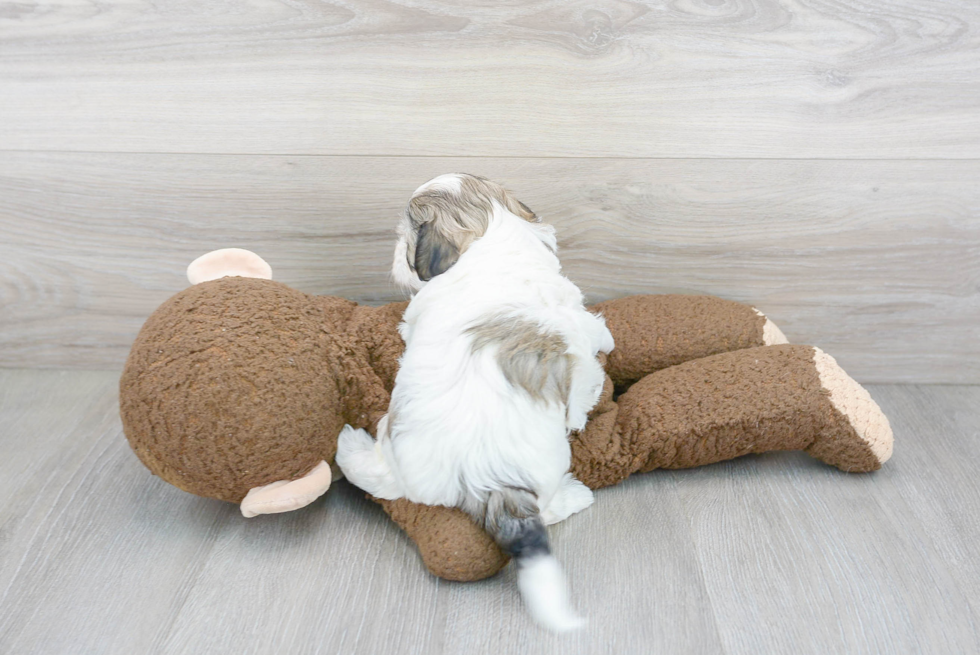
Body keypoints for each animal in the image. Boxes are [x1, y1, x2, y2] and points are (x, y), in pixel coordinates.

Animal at [336, 172, 612, 632]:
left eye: (405, 238)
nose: (393, 257)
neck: (492, 235)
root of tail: (480, 477)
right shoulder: (577, 344)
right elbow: (587, 375)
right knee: (549, 508)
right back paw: (575, 496)